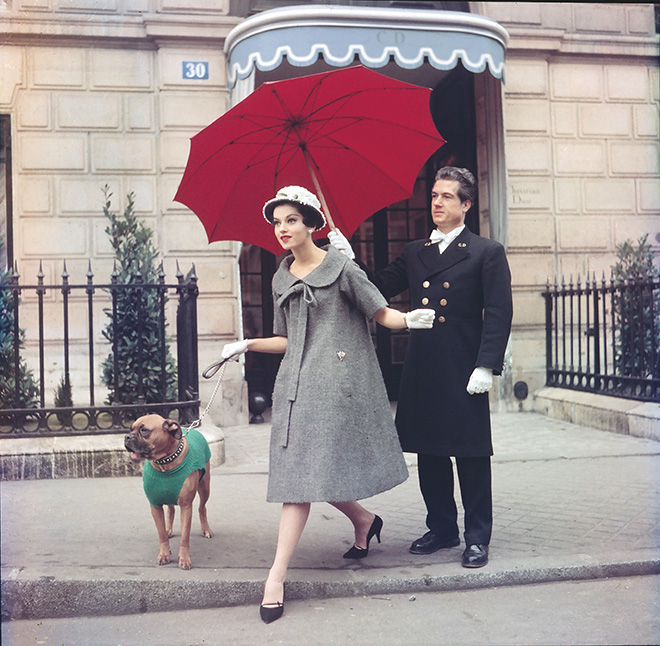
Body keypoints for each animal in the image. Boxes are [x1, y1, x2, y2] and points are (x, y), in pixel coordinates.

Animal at [125, 416, 213, 572]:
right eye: (130, 429)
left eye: (144, 430)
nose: (127, 437)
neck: (164, 463)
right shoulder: (155, 506)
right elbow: (161, 535)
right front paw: (164, 554)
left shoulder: (186, 507)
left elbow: (184, 537)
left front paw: (184, 559)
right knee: (171, 510)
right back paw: (168, 529)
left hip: (204, 487)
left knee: (202, 508)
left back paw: (206, 529)